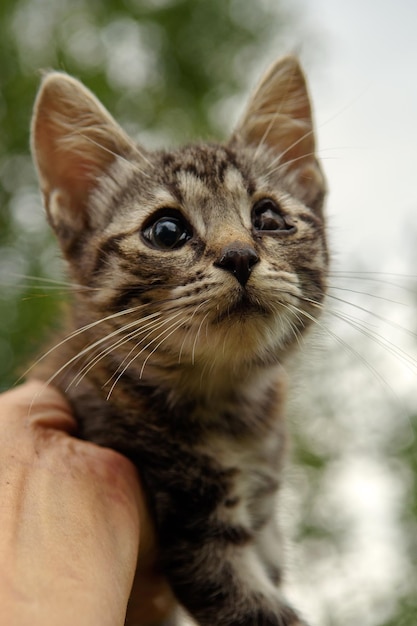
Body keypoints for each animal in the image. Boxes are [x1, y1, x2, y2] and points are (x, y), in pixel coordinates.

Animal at [30, 56, 328, 620]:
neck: (228, 403)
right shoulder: (193, 526)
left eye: (269, 217)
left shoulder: (262, 519)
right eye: (166, 231)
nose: (239, 256)